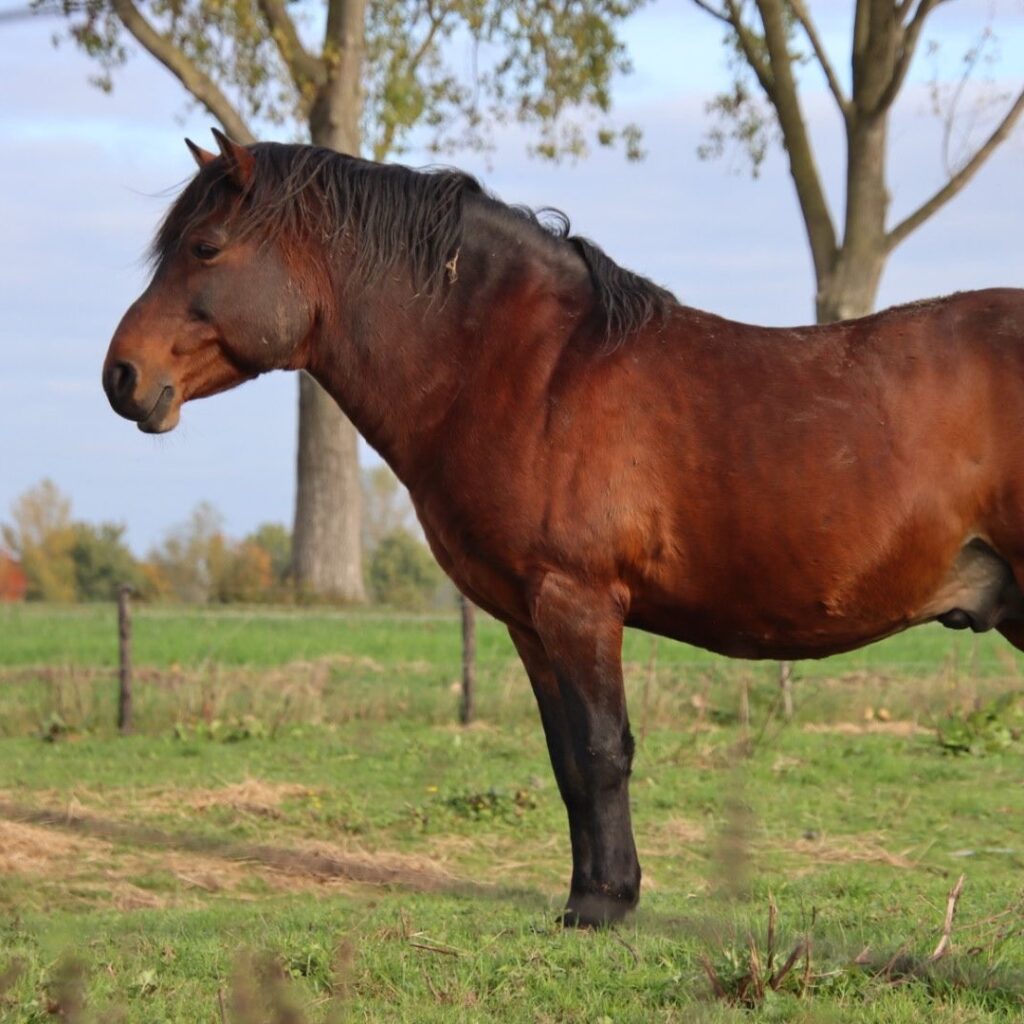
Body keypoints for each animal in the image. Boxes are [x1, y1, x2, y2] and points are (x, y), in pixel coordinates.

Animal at [104, 130, 1024, 926]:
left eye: (205, 247)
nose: (122, 376)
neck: (530, 373)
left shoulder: (577, 602)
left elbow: (603, 749)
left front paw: (606, 904)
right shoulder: (528, 620)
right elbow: (568, 761)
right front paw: (589, 893)